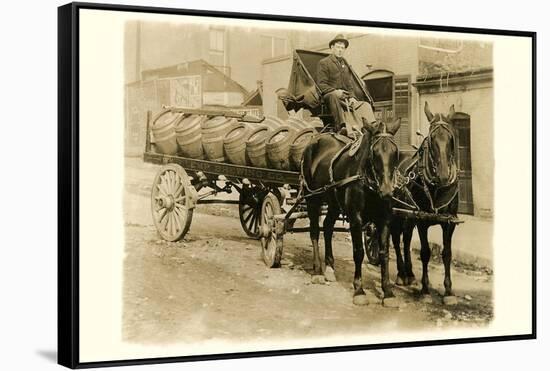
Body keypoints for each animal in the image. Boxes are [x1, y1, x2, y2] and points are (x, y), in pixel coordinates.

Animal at [302, 118, 402, 306]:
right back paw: (318, 270)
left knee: (327, 226)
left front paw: (388, 292)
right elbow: (358, 252)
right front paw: (359, 290)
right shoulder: (356, 218)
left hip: (334, 203)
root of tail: (315, 139)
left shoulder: (385, 219)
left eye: (395, 152)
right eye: (375, 153)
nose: (387, 191)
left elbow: (384, 254)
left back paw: (329, 267)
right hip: (312, 198)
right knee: (314, 232)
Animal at [392, 102, 462, 306]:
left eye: (451, 138)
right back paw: (401, 274)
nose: (444, 175)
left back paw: (409, 274)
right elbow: (425, 252)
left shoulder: (449, 222)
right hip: (395, 214)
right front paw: (425, 289)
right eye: (431, 140)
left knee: (406, 239)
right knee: (396, 239)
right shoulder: (422, 221)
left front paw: (448, 290)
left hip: (408, 216)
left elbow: (447, 253)